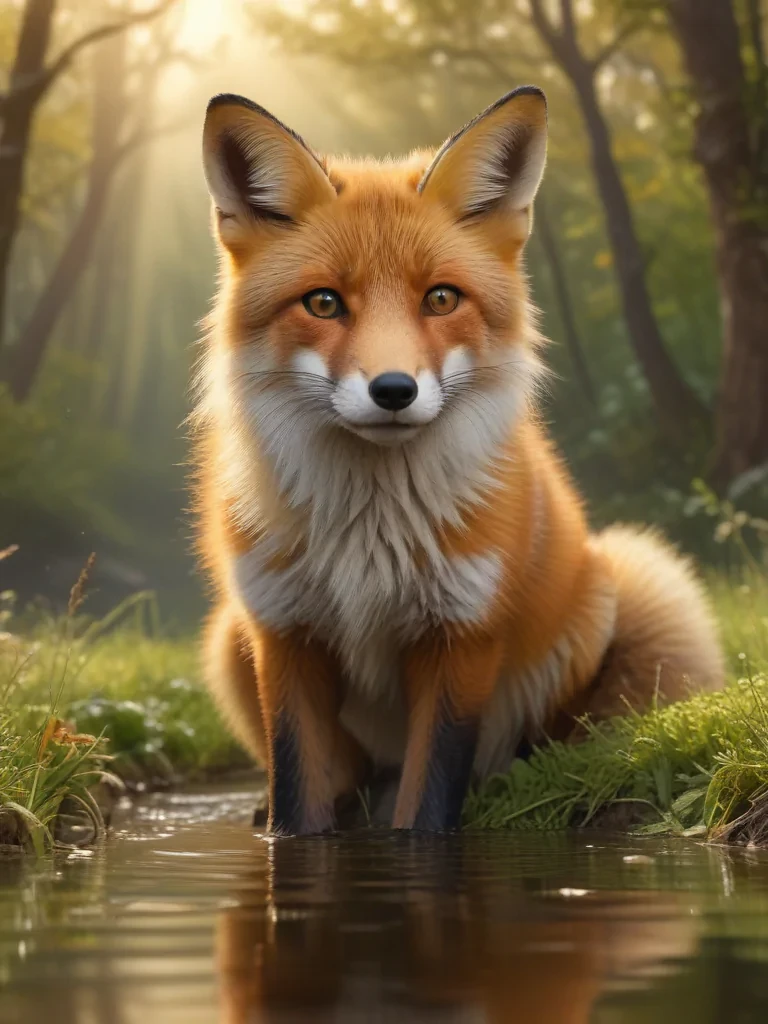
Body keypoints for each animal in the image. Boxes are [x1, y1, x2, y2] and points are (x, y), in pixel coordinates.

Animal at [194, 86, 724, 836]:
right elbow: (301, 805)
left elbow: (428, 807)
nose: (393, 390)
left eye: (440, 298)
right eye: (323, 303)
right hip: (226, 639)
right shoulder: (286, 637)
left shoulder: (462, 636)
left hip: (626, 583)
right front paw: (289, 828)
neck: (370, 539)